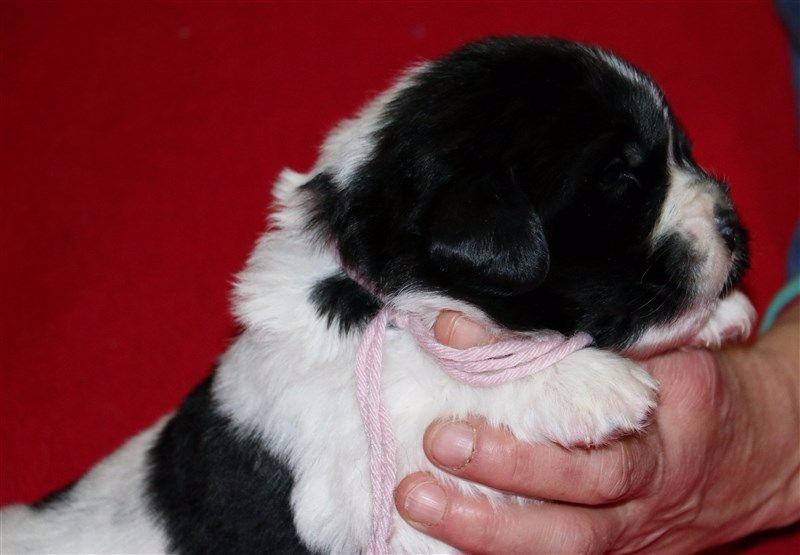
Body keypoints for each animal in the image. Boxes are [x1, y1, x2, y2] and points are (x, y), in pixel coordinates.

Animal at [0, 36, 755, 554]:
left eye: (680, 152)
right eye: (622, 180)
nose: (735, 227)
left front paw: (721, 313)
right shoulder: (358, 474)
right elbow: (432, 374)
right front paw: (585, 382)